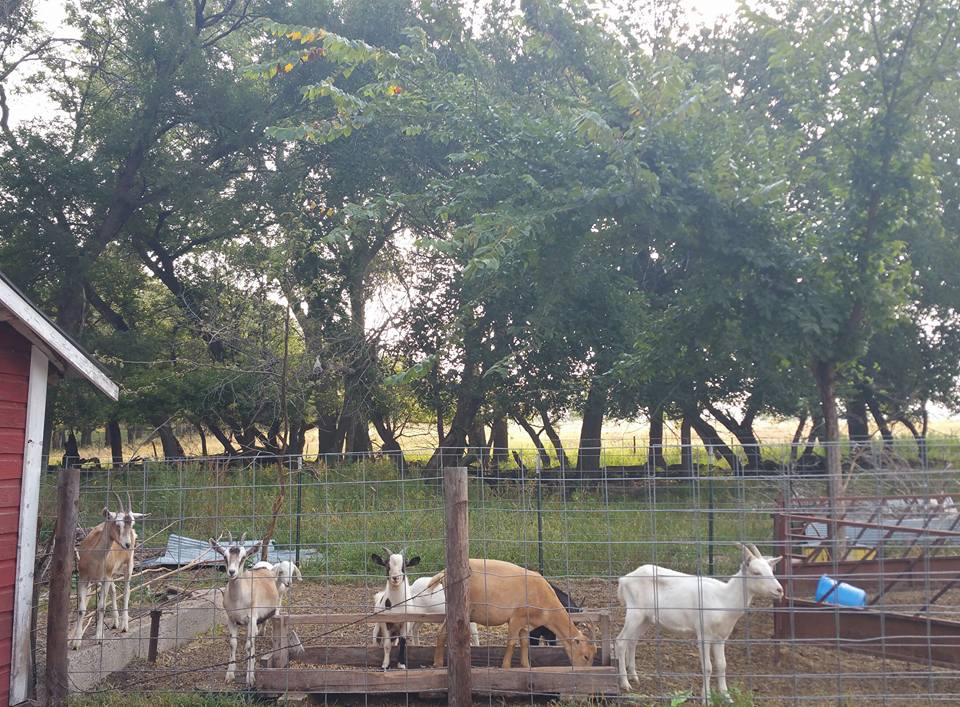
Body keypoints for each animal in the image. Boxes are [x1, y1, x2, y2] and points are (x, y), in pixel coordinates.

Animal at [69, 492, 144, 648]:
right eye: (117, 523)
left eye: (132, 523)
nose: (127, 544)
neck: (95, 557)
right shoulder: (84, 578)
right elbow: (81, 609)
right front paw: (75, 641)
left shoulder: (105, 578)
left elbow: (102, 606)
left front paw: (99, 637)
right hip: (110, 575)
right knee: (114, 590)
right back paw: (115, 622)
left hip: (128, 564)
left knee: (126, 590)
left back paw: (124, 625)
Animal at [211, 532, 282, 684]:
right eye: (224, 556)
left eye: (243, 557)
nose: (232, 572)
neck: (238, 600)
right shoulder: (231, 618)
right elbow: (233, 643)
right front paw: (229, 674)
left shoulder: (251, 618)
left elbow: (249, 645)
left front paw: (250, 677)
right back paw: (261, 632)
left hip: (277, 604)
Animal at [432, 560, 596, 668]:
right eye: (586, 656)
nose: (585, 671)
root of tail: (443, 573)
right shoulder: (517, 618)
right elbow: (511, 642)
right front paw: (505, 666)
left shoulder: (527, 625)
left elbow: (524, 643)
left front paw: (525, 665)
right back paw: (439, 664)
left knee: (441, 632)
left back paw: (438, 663)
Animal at [620, 544, 784, 700]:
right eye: (756, 572)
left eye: (772, 570)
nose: (780, 590)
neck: (723, 599)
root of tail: (624, 579)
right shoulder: (704, 633)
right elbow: (707, 667)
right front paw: (706, 698)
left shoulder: (721, 637)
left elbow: (722, 665)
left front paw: (726, 697)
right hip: (634, 613)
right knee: (621, 641)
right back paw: (625, 683)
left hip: (646, 619)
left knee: (632, 641)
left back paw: (634, 676)